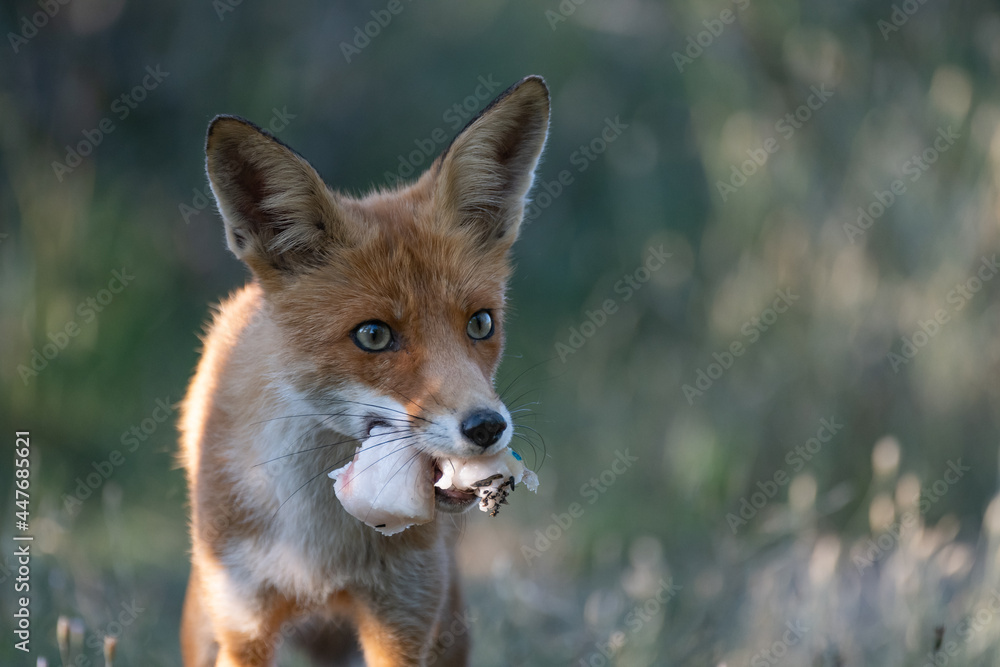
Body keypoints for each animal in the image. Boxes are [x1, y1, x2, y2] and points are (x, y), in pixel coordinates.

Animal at [179, 75, 550, 667]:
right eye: (373, 335)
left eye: (481, 323)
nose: (487, 427)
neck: (318, 550)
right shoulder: (245, 626)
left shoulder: (401, 621)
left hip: (448, 625)